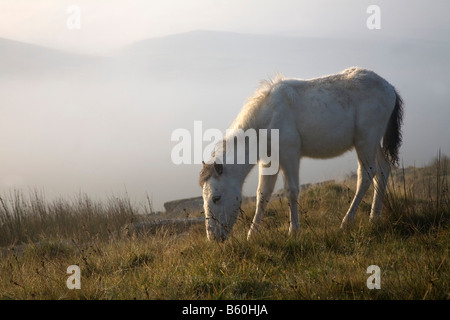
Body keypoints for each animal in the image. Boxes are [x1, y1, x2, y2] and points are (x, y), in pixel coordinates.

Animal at [199, 68, 402, 242]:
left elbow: (291, 191)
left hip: (365, 140)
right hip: (374, 142)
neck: (267, 118)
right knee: (383, 170)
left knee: (366, 174)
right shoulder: (269, 161)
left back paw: (347, 222)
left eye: (216, 198)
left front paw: (294, 230)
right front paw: (252, 234)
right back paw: (374, 217)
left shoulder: (289, 155)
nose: (213, 238)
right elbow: (262, 195)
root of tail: (390, 88)